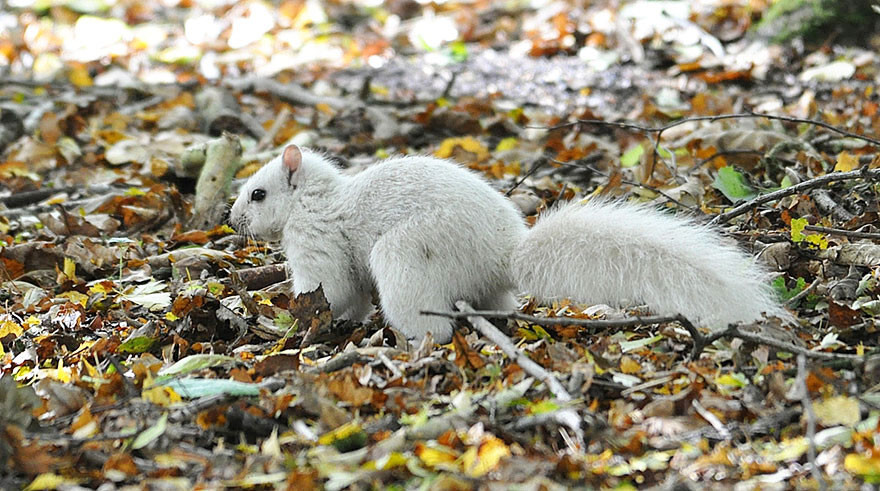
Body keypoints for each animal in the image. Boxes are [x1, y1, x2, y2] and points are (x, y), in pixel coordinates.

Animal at [229, 145, 792, 342]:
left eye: (258, 194)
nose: (232, 221)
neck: (317, 198)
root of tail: (503, 259)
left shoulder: (318, 242)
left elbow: (332, 289)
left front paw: (299, 321)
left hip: (406, 256)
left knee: (429, 324)